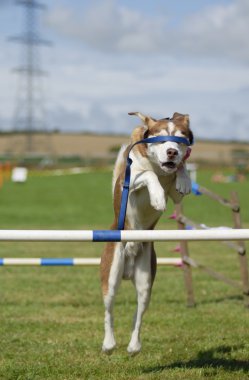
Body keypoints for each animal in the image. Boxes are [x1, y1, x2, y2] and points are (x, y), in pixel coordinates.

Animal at [100, 111, 194, 354]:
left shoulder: (176, 195)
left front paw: (184, 179)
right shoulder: (130, 177)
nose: (172, 152)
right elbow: (147, 176)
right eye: (161, 140)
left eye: (180, 139)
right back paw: (109, 343)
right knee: (109, 310)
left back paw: (134, 345)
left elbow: (180, 176)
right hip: (111, 272)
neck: (159, 168)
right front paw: (158, 197)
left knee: (139, 313)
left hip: (146, 280)